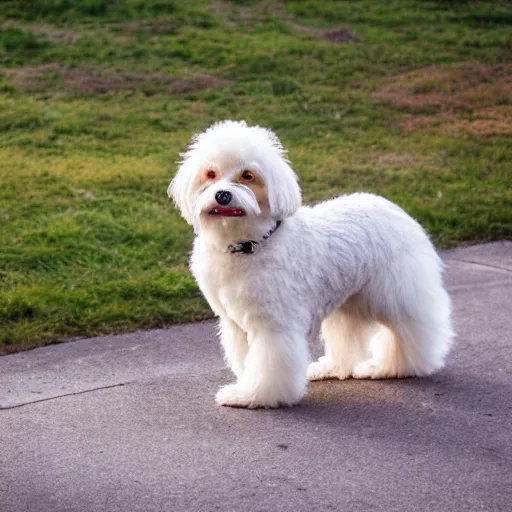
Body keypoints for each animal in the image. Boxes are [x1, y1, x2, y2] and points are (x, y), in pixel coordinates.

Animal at [170, 119, 454, 408]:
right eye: (210, 174)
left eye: (248, 176)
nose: (223, 195)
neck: (250, 244)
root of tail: (394, 209)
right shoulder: (236, 325)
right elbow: (247, 360)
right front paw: (245, 390)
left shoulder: (273, 327)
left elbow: (267, 366)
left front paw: (255, 396)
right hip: (348, 302)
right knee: (348, 340)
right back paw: (331, 368)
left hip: (394, 295)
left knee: (411, 332)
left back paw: (393, 367)